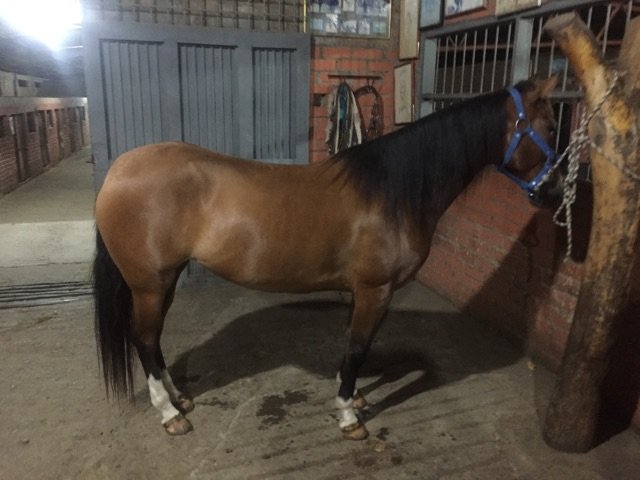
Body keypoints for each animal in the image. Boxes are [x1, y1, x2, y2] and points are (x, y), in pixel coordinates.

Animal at [93, 75, 560, 439]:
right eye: (551, 126)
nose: (554, 192)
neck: (392, 191)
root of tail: (118, 170)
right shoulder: (376, 290)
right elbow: (357, 348)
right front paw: (349, 416)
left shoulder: (363, 291)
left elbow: (355, 344)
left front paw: (354, 396)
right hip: (149, 284)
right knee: (144, 338)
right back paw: (169, 414)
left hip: (165, 280)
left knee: (153, 340)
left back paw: (179, 399)